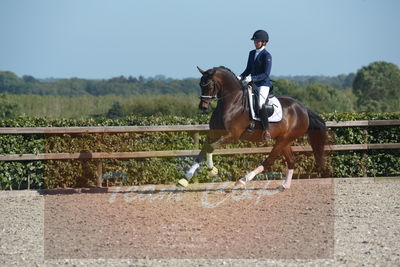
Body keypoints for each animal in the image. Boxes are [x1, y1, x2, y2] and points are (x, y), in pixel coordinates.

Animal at [179, 66, 328, 189]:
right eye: (200, 84)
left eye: (209, 85)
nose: (203, 107)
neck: (231, 102)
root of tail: (303, 109)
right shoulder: (214, 133)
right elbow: (203, 150)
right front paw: (186, 178)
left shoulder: (232, 136)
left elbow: (210, 148)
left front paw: (212, 170)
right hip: (284, 140)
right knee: (291, 161)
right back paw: (284, 186)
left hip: (284, 140)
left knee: (269, 160)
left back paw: (244, 179)